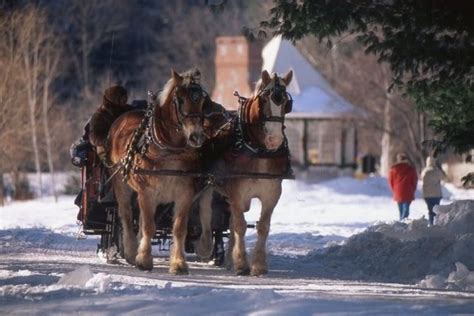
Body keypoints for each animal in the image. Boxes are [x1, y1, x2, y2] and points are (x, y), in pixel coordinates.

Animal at [109, 69, 209, 274]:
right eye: (180, 99)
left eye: (202, 99)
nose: (196, 136)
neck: (168, 150)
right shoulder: (147, 193)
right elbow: (149, 226)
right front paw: (144, 260)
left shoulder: (185, 194)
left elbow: (179, 228)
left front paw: (178, 263)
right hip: (122, 185)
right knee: (126, 215)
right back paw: (131, 251)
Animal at [196, 70, 292, 276]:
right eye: (264, 100)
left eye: (287, 103)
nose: (274, 139)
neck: (259, 151)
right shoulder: (237, 192)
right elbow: (240, 226)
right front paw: (241, 264)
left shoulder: (272, 194)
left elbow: (263, 226)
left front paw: (258, 265)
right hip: (209, 183)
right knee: (206, 210)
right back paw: (206, 246)